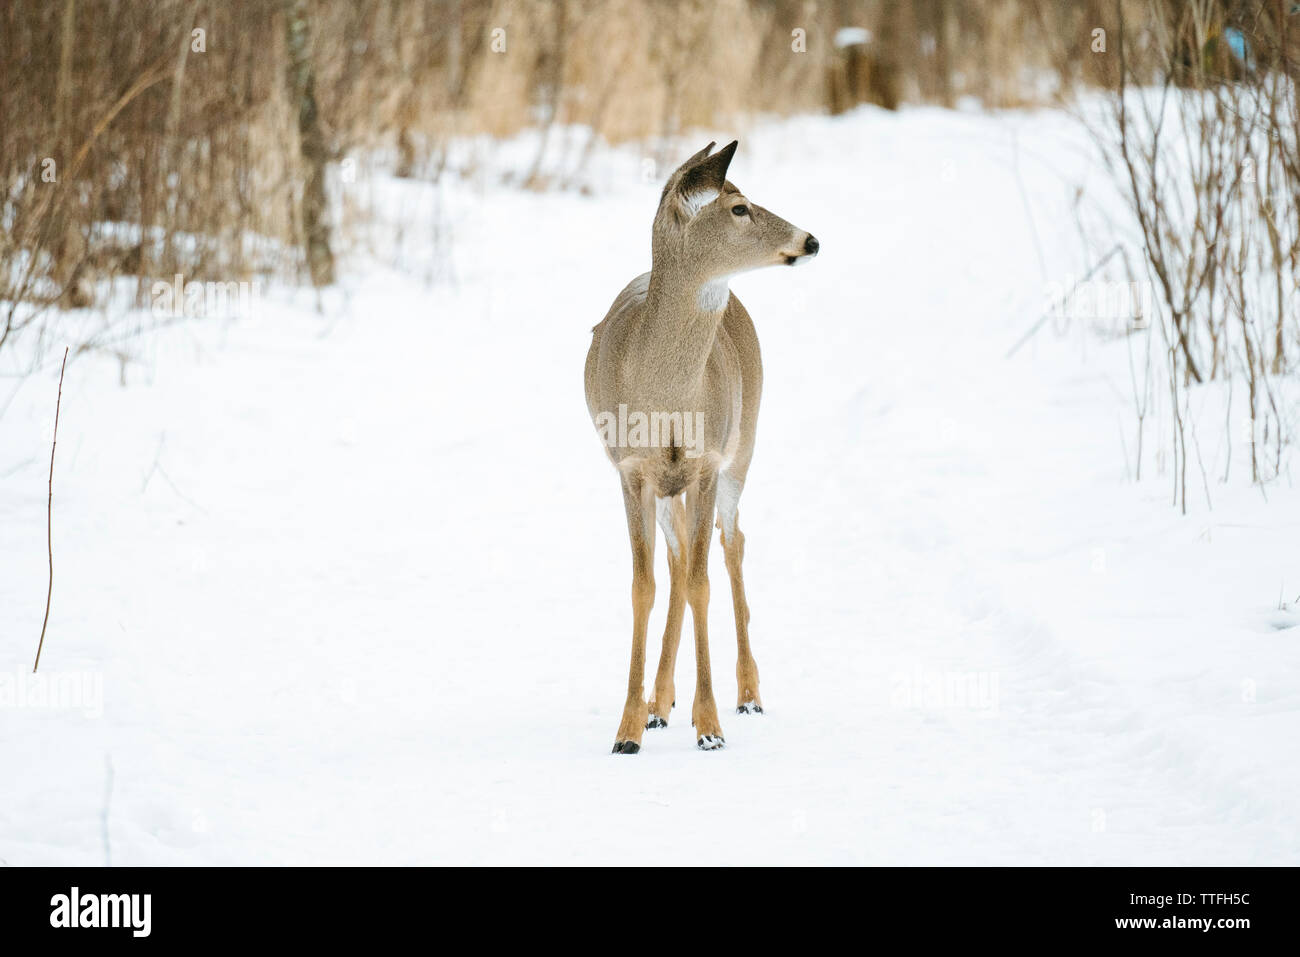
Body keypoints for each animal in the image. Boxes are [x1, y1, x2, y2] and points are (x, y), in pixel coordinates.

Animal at [584, 140, 819, 753]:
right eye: (738, 207)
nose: (811, 240)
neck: (666, 397)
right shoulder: (631, 468)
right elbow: (645, 585)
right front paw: (628, 728)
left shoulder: (709, 461)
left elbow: (701, 582)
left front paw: (710, 725)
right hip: (671, 487)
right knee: (677, 556)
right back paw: (660, 703)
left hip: (745, 443)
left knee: (731, 543)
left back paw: (747, 694)